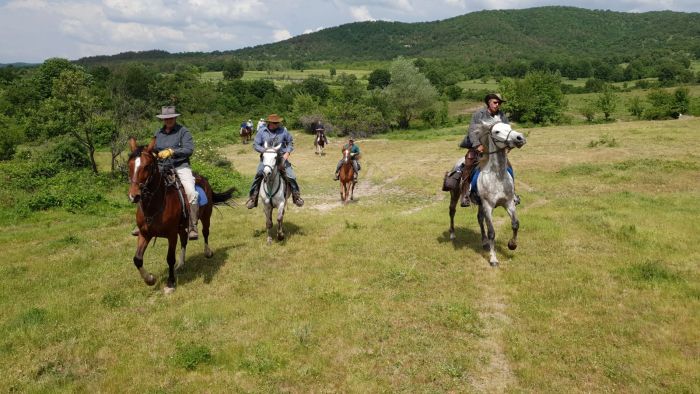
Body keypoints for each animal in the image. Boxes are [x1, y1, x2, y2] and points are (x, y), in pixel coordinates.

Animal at [127, 137, 234, 290]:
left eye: (147, 166)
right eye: (129, 165)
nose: (134, 196)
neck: (155, 205)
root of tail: (204, 179)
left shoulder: (171, 235)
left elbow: (170, 258)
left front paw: (170, 282)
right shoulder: (144, 233)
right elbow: (137, 259)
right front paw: (150, 279)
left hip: (205, 216)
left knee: (205, 232)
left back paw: (207, 252)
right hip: (182, 226)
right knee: (184, 240)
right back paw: (181, 263)